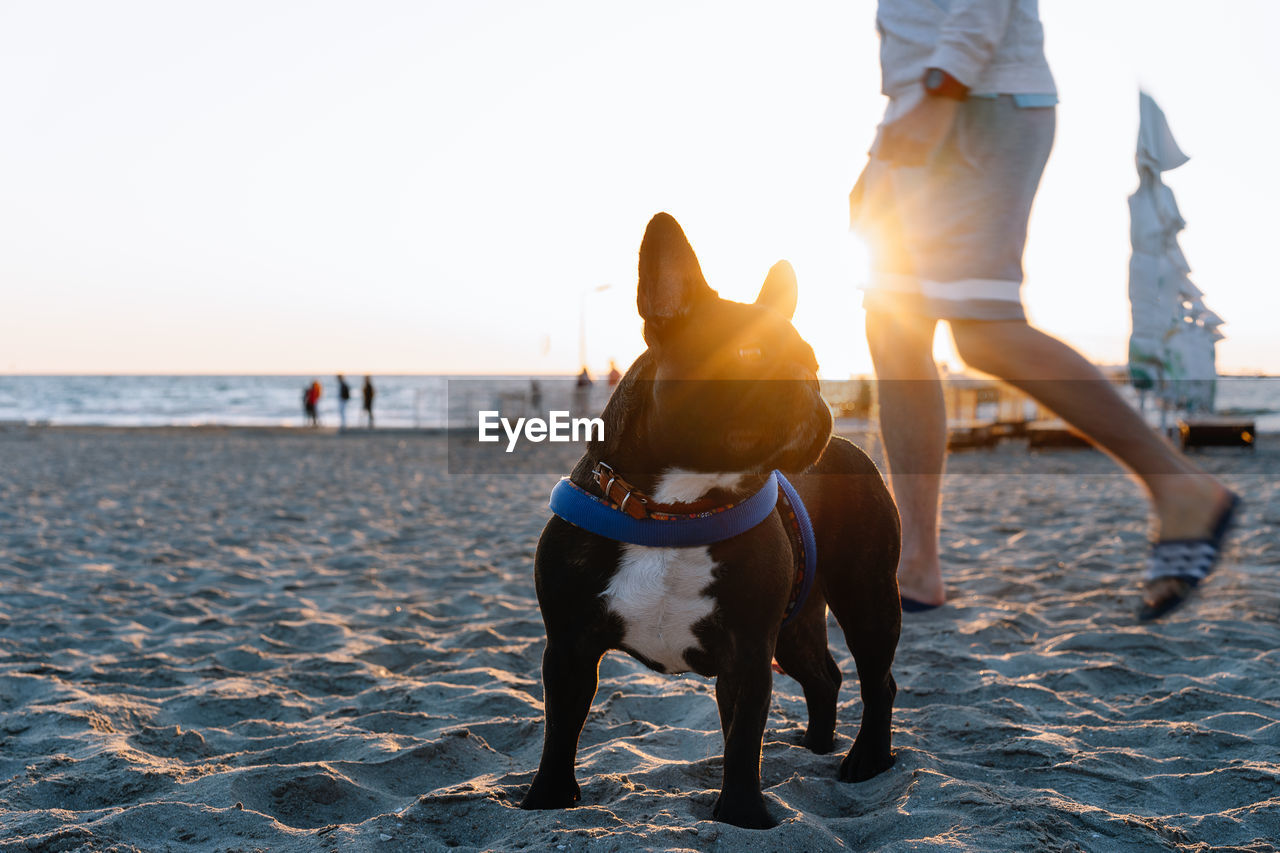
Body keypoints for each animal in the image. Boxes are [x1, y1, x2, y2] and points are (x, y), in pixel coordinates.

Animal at [519, 213, 901, 829]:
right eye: (748, 352)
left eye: (814, 362)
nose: (810, 385)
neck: (674, 510)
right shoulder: (569, 647)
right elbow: (560, 733)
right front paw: (547, 800)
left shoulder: (746, 652)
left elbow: (743, 740)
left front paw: (743, 815)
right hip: (794, 626)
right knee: (826, 675)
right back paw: (816, 746)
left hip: (866, 594)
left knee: (878, 681)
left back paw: (867, 758)